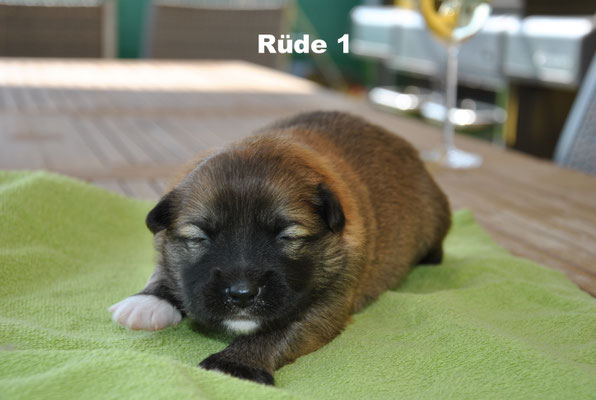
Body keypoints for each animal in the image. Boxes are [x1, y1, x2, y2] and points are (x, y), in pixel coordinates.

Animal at [109, 111, 451, 385]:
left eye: (287, 237)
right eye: (200, 238)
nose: (242, 294)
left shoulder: (327, 303)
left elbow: (277, 329)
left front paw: (233, 365)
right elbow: (164, 269)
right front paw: (148, 301)